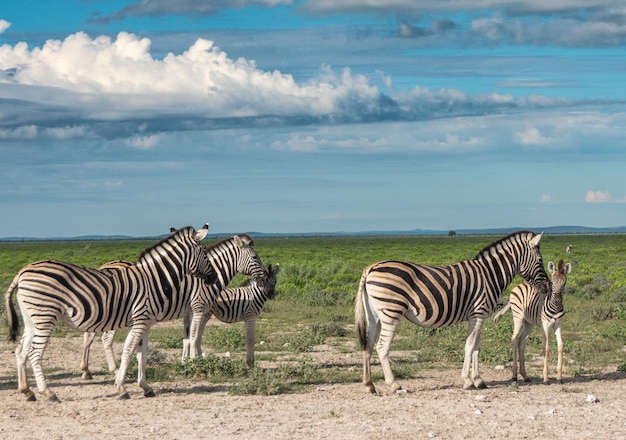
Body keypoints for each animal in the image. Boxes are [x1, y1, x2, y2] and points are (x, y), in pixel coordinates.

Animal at [4, 225, 217, 400]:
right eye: (204, 252)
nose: (214, 278)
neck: (154, 279)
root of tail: (21, 272)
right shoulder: (139, 320)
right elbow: (129, 351)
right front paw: (121, 388)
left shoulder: (145, 323)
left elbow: (142, 354)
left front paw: (145, 387)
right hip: (45, 316)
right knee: (34, 353)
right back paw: (48, 393)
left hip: (32, 320)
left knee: (20, 351)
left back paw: (26, 391)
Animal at [78, 234, 264, 378]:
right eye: (255, 258)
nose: (264, 277)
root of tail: (104, 266)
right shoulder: (199, 308)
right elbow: (195, 337)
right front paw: (196, 365)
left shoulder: (189, 312)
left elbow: (188, 338)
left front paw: (186, 363)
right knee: (105, 338)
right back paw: (114, 370)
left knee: (89, 336)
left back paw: (86, 371)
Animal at [354, 230, 548, 392]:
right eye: (540, 261)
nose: (547, 287)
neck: (490, 275)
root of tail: (369, 268)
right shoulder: (478, 314)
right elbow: (469, 346)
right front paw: (467, 381)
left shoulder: (479, 316)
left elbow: (476, 347)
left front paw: (478, 380)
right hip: (391, 312)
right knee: (381, 347)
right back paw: (394, 384)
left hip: (374, 315)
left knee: (368, 345)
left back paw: (369, 384)